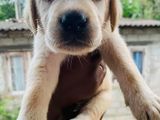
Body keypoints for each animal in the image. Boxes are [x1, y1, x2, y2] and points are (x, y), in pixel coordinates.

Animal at [17, 0, 160, 120]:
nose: (73, 20)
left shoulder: (110, 36)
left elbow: (127, 67)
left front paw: (146, 102)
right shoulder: (44, 56)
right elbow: (35, 92)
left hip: (104, 96)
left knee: (90, 110)